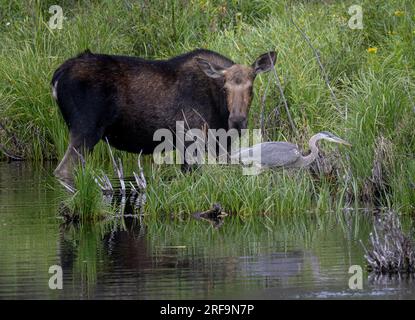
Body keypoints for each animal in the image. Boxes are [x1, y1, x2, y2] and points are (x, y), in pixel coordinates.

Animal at [52, 48, 278, 182]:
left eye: (251, 88)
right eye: (224, 88)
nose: (237, 121)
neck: (220, 113)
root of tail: (56, 77)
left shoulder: (220, 145)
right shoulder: (190, 140)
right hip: (85, 129)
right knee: (63, 170)